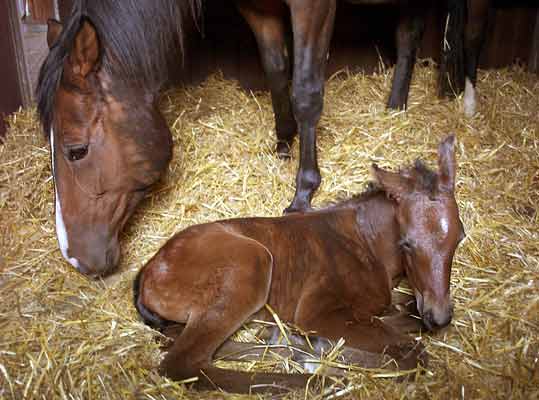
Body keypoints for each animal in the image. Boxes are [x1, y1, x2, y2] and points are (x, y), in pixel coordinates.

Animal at [37, 0, 468, 278]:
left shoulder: (312, 6)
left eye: (76, 150)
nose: (74, 258)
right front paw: (283, 144)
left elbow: (305, 90)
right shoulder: (259, 10)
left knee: (413, 34)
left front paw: (303, 191)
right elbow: (276, 70)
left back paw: (403, 104)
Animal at [134, 135, 464, 394]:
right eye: (407, 243)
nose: (439, 317)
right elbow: (412, 354)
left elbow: (405, 316)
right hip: (250, 264)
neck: (365, 241)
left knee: (174, 340)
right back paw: (316, 380)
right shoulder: (317, 311)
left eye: (459, 238)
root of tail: (148, 271)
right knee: (183, 364)